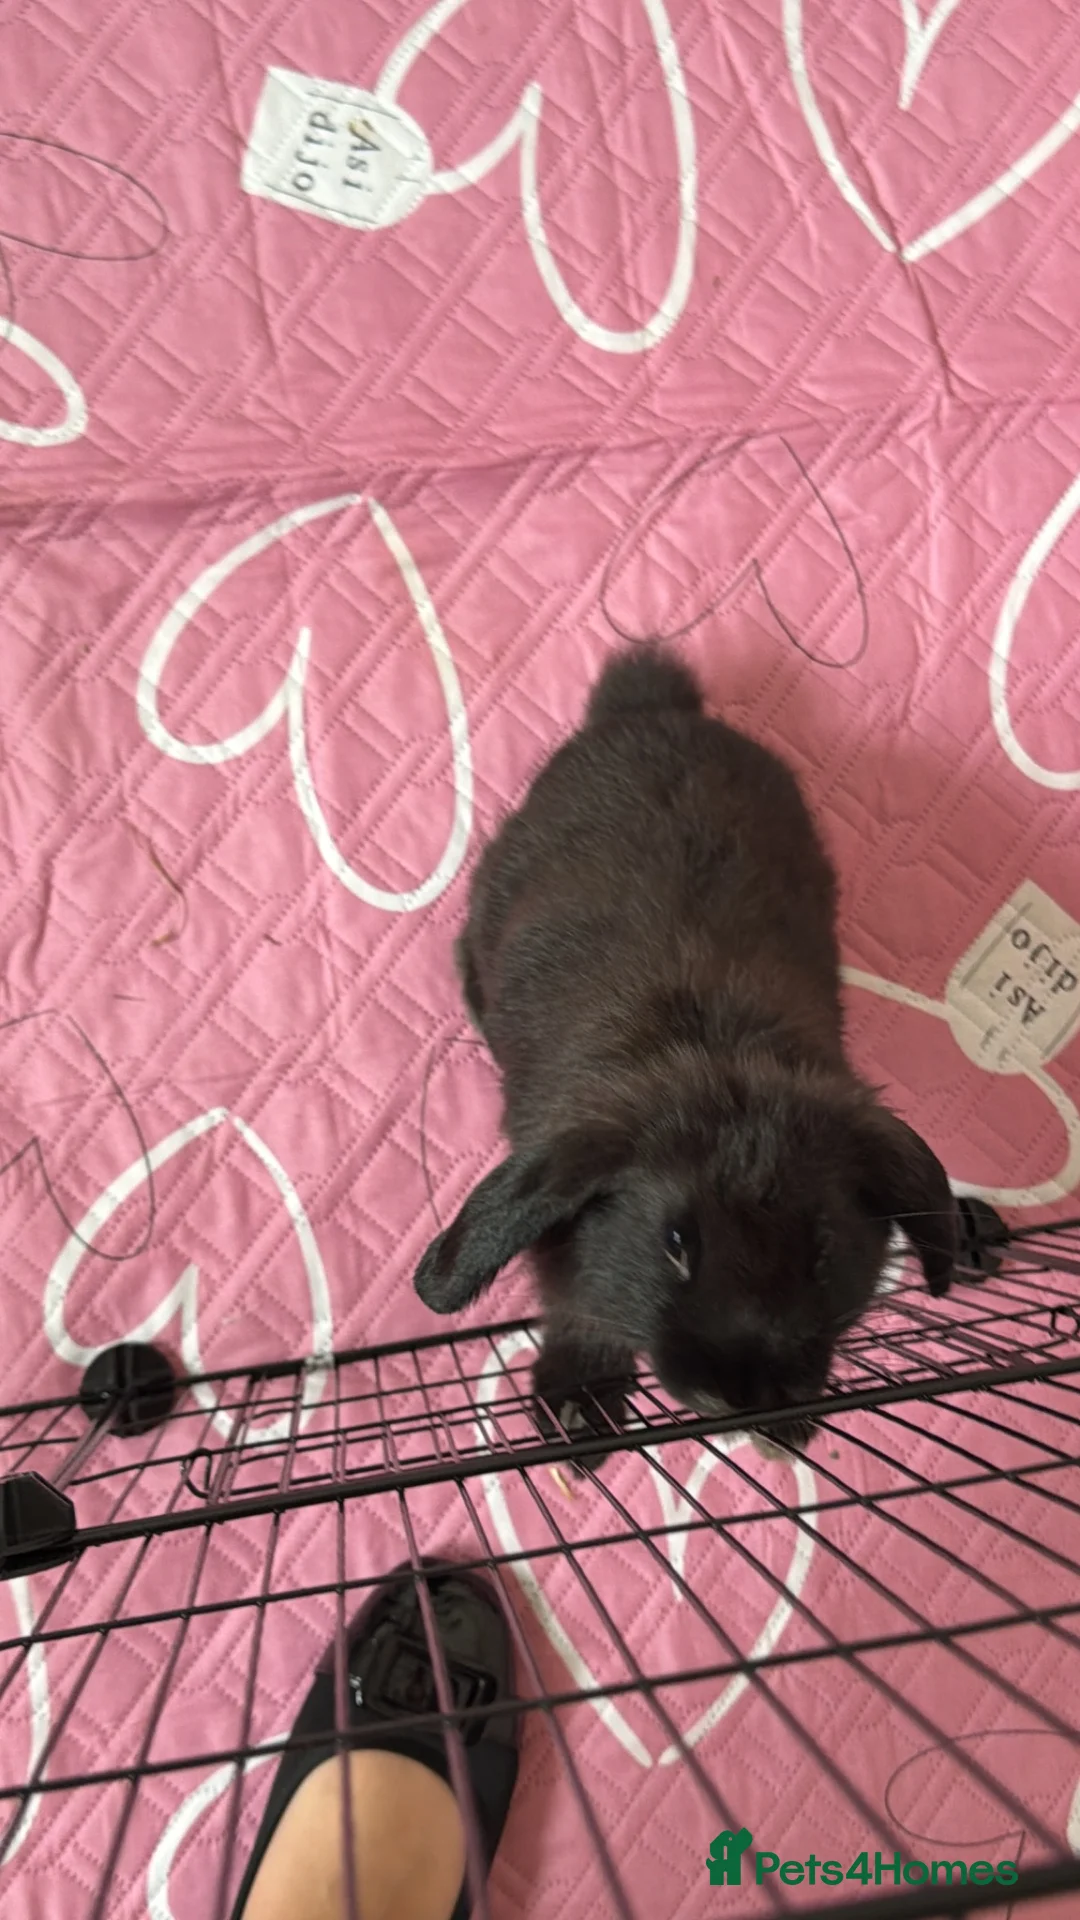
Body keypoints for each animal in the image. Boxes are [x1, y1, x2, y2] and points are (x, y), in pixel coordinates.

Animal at [414, 644, 958, 1461]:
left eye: (823, 1250)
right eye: (675, 1244)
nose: (748, 1400)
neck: (714, 1055)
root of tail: (650, 708)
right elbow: (583, 1313)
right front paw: (579, 1409)